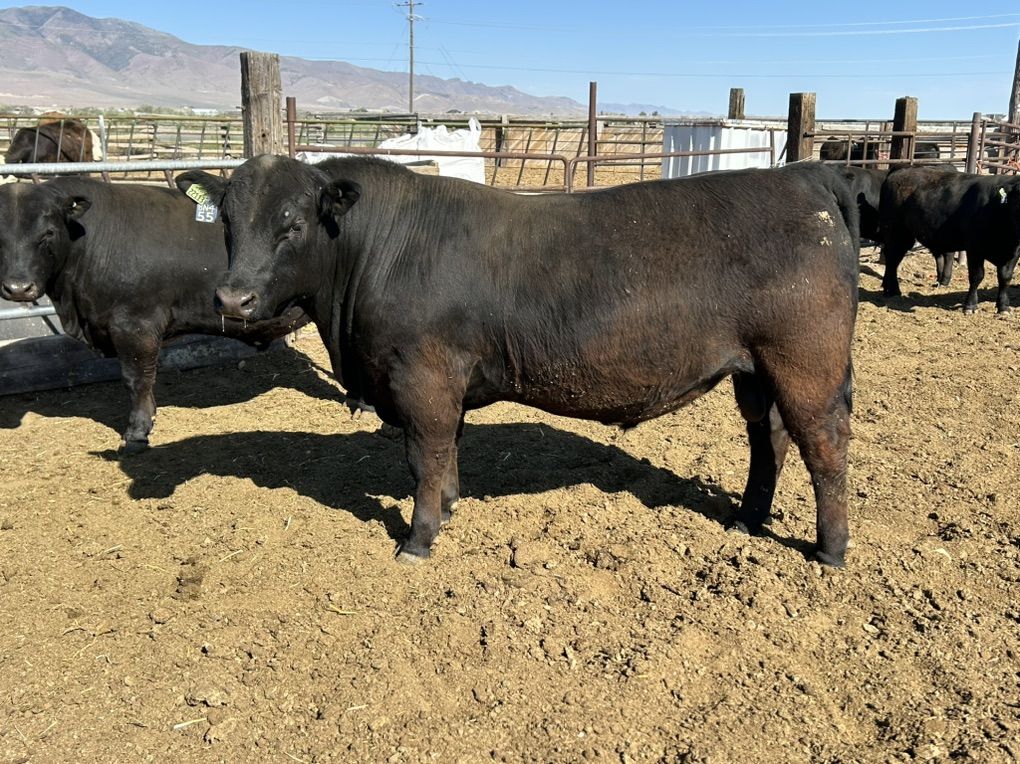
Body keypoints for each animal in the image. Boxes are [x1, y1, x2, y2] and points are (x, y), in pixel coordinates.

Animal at [176, 156, 860, 567]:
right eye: (227, 220)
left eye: (292, 223)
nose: (232, 299)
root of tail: (804, 176)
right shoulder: (445, 383)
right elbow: (448, 451)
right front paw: (450, 506)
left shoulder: (421, 378)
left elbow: (423, 456)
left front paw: (417, 539)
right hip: (756, 369)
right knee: (769, 439)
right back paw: (746, 519)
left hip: (806, 364)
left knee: (823, 446)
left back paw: (829, 550)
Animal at [879, 167, 1020, 313]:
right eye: (1018, 201)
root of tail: (901, 169)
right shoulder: (974, 248)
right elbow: (977, 276)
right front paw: (970, 305)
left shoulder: (1014, 252)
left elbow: (1005, 277)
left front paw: (1003, 306)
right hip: (895, 232)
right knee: (892, 260)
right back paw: (894, 290)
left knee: (893, 259)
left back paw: (887, 288)